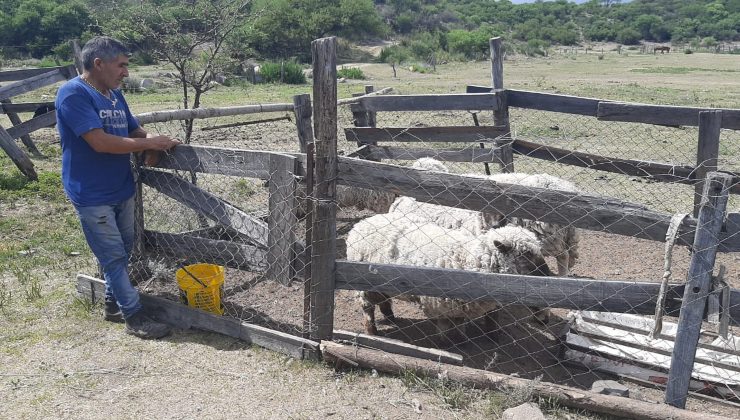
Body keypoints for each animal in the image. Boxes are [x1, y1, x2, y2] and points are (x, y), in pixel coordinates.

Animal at [348, 213, 556, 342]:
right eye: (525, 255)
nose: (546, 276)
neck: (470, 259)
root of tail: (362, 223)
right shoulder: (439, 304)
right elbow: (445, 327)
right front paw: (448, 343)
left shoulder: (460, 304)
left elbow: (460, 322)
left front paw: (463, 339)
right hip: (365, 283)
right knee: (367, 307)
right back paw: (372, 331)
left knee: (384, 300)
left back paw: (391, 317)